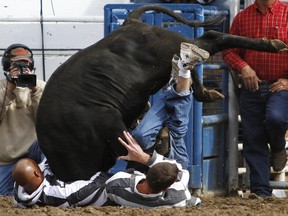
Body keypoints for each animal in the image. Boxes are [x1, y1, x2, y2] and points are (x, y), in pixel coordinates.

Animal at [36, 5, 288, 181]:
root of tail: (132, 23)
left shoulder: (111, 124)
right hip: (169, 56)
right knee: (200, 51)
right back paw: (205, 92)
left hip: (169, 47)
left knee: (209, 41)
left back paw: (272, 44)